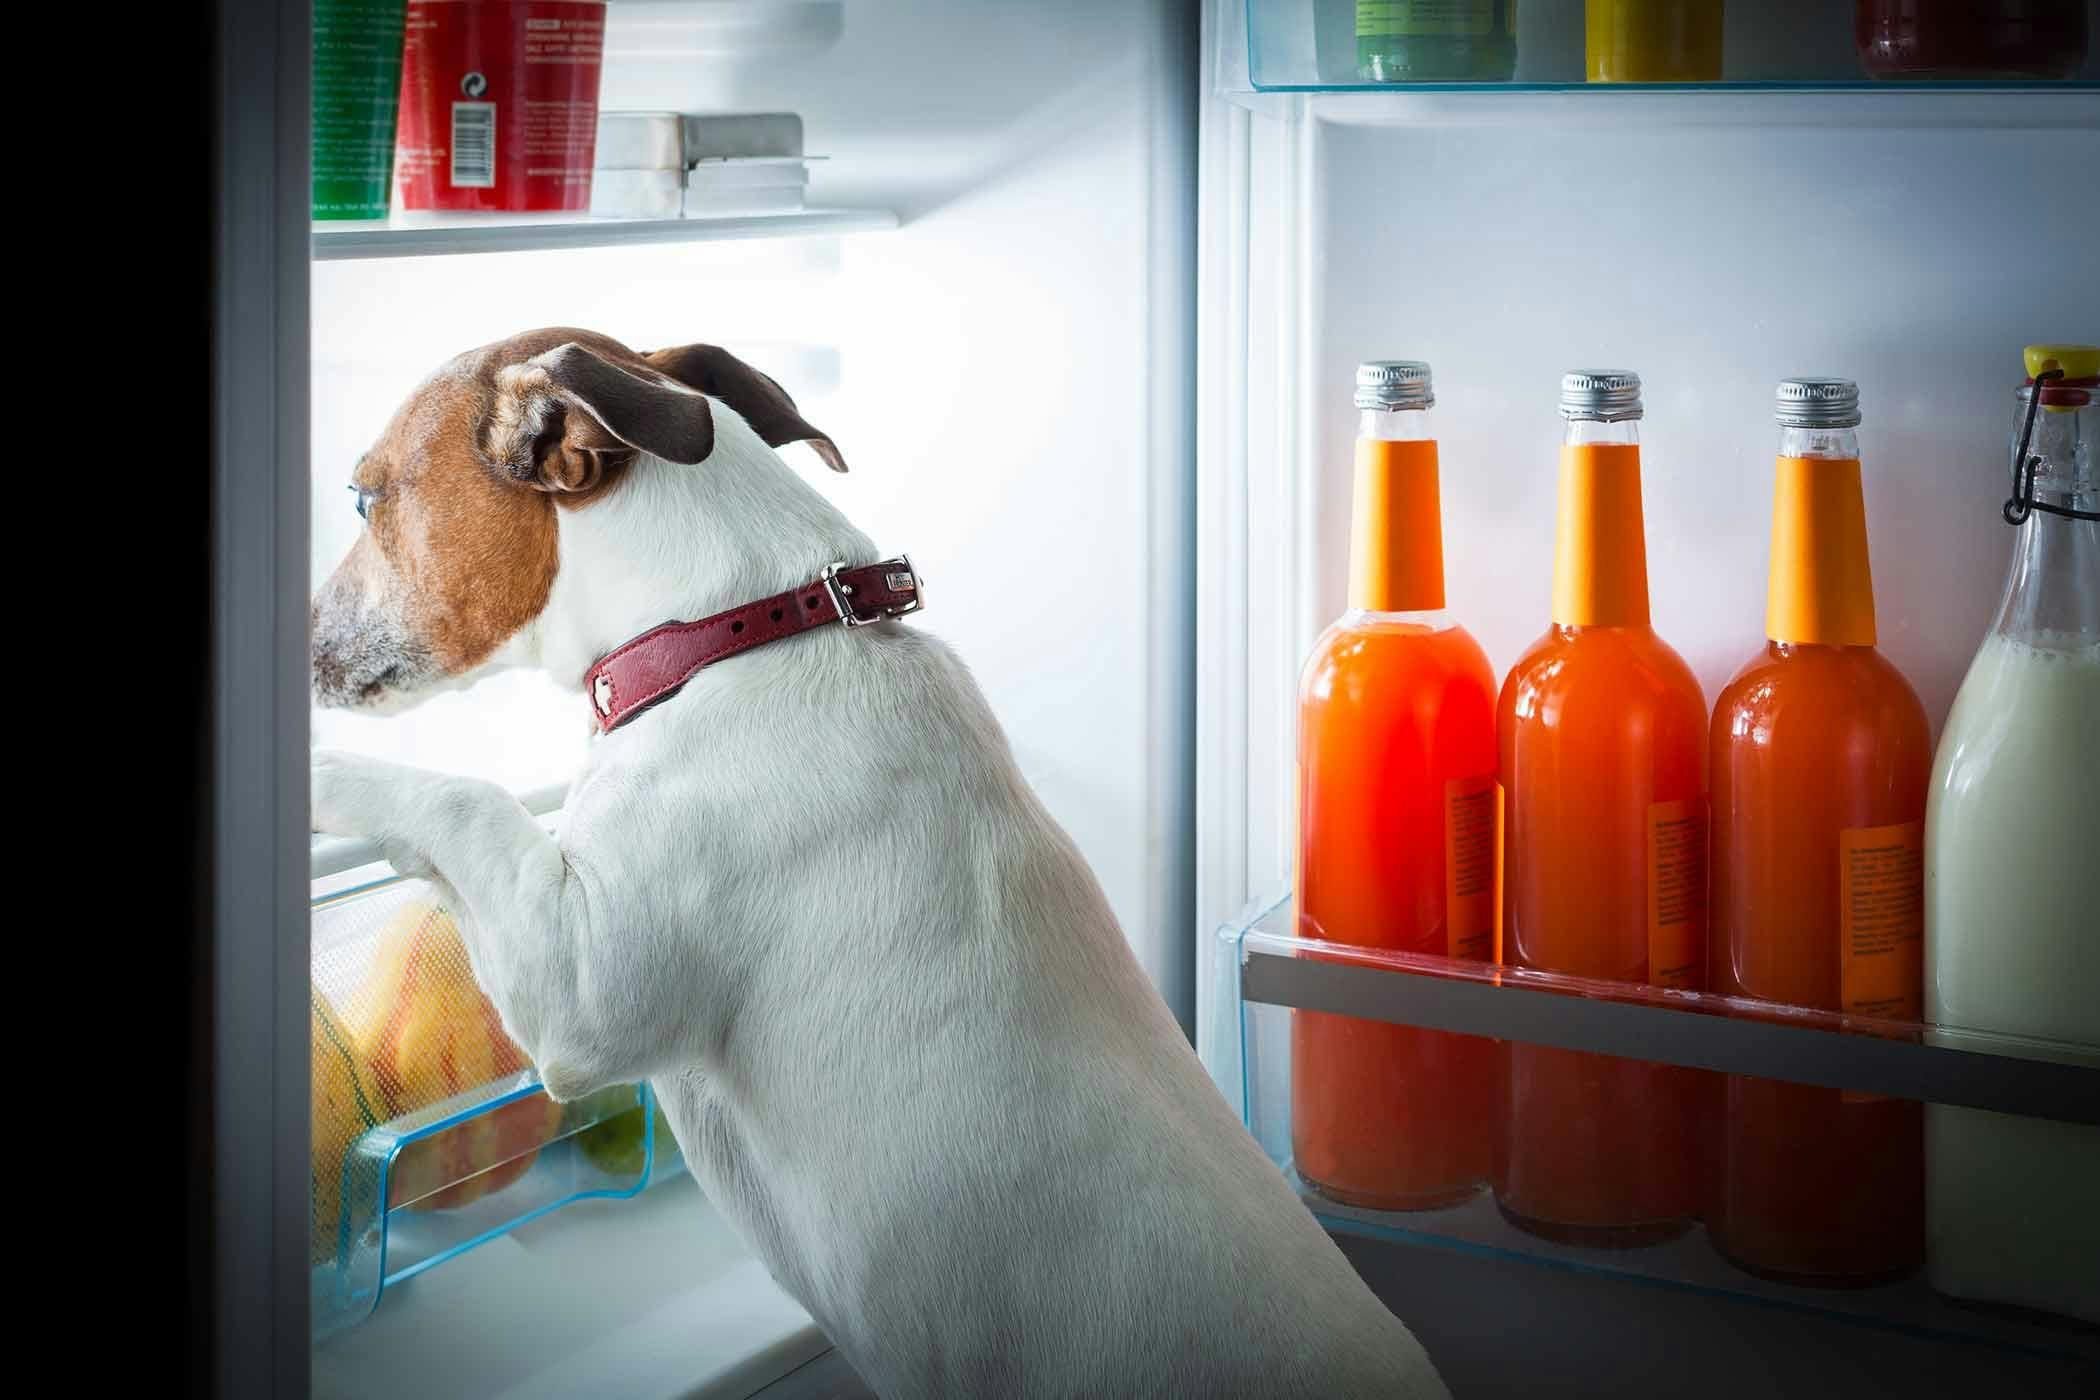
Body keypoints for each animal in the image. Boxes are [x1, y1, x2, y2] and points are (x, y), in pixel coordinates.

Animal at [310, 331, 1453, 1400]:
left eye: (365, 496)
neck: (732, 636)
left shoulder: (580, 993)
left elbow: (465, 797)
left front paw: (320, 771)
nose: (305, 643)